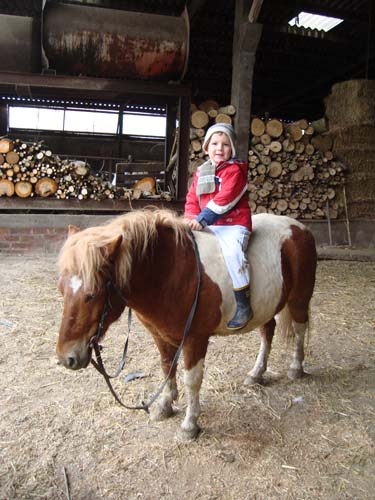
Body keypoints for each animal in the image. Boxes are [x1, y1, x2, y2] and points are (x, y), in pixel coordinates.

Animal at [56, 209, 318, 440]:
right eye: (61, 290)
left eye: (92, 294)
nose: (66, 358)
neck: (171, 272)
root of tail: (300, 227)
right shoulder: (160, 335)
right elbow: (166, 367)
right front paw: (165, 405)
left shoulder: (195, 339)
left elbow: (192, 380)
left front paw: (190, 425)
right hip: (267, 305)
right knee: (268, 331)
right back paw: (256, 373)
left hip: (299, 298)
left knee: (299, 329)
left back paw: (296, 368)